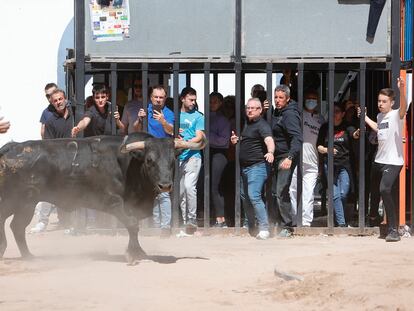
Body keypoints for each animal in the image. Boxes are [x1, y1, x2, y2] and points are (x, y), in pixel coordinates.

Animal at [0, 133, 206, 264]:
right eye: (150, 160)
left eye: (172, 161)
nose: (165, 185)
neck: (129, 163)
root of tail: (11, 148)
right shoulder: (114, 202)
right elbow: (132, 224)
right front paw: (132, 254)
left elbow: (134, 227)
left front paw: (138, 252)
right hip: (16, 201)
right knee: (11, 224)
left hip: (25, 204)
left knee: (16, 226)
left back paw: (27, 256)